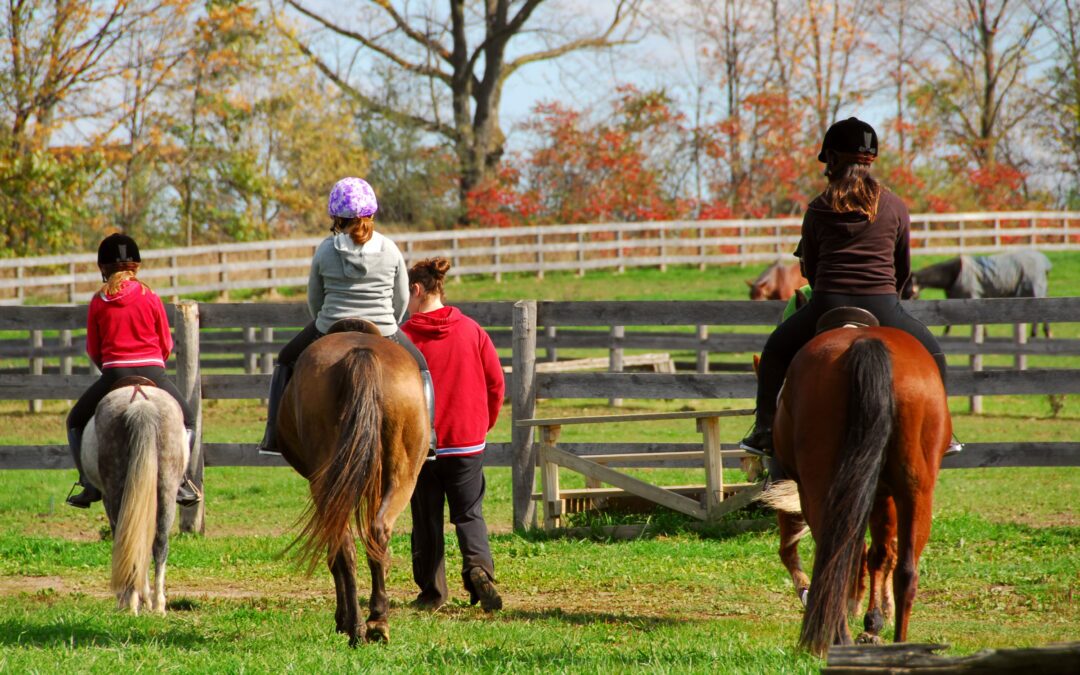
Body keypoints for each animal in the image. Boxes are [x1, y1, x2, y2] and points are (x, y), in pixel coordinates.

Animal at [80, 380, 189, 615]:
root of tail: (141, 404)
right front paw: (145, 597)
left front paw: (136, 597)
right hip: (166, 489)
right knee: (160, 543)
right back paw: (158, 605)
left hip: (115, 492)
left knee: (126, 538)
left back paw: (129, 603)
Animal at [278, 319, 429, 647]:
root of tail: (362, 352)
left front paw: (341, 619)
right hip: (403, 476)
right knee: (377, 532)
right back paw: (377, 621)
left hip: (327, 486)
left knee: (344, 545)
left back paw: (356, 626)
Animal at [759, 314, 950, 656]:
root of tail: (864, 341)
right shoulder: (881, 495)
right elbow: (877, 553)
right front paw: (872, 621)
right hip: (915, 490)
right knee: (905, 569)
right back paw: (896, 644)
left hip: (823, 489)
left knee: (838, 558)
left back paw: (838, 633)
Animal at [910, 250, 1052, 337]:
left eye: (909, 290)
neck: (954, 274)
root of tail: (1045, 263)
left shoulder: (972, 298)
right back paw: (1045, 333)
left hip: (1034, 289)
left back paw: (1036, 334)